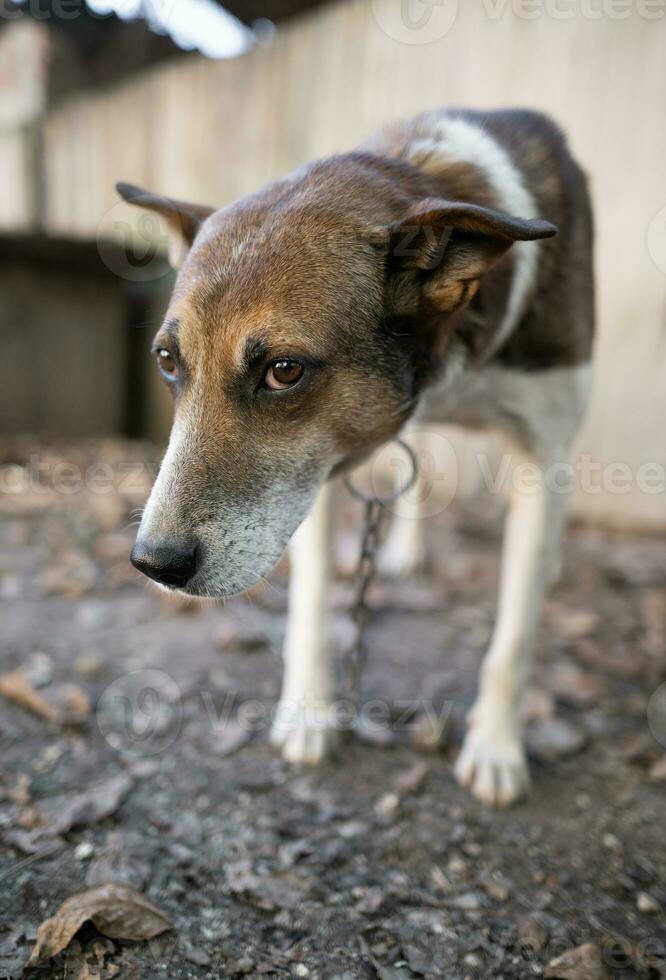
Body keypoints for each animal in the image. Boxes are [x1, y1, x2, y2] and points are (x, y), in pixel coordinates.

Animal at [118, 111, 592, 808]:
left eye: (284, 371)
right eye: (166, 361)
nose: (154, 564)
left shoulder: (547, 452)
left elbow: (514, 636)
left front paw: (496, 747)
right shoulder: (315, 469)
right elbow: (312, 607)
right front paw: (309, 715)